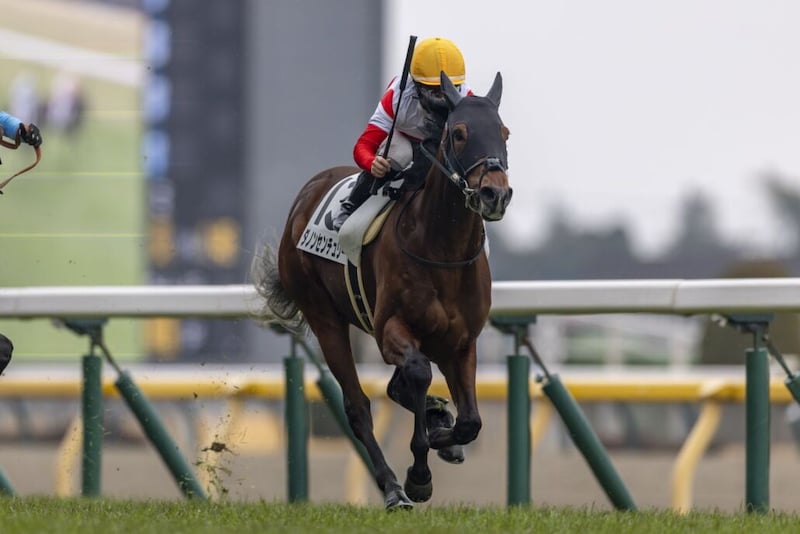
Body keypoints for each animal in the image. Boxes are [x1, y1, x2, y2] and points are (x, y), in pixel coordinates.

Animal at [252, 71, 512, 509]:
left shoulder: (461, 342)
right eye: (459, 133)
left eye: (505, 133)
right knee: (358, 406)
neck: (441, 248)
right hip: (325, 318)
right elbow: (419, 374)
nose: (495, 194)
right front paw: (419, 474)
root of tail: (307, 193)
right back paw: (392, 487)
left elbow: (470, 422)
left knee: (397, 388)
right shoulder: (390, 327)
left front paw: (445, 434)